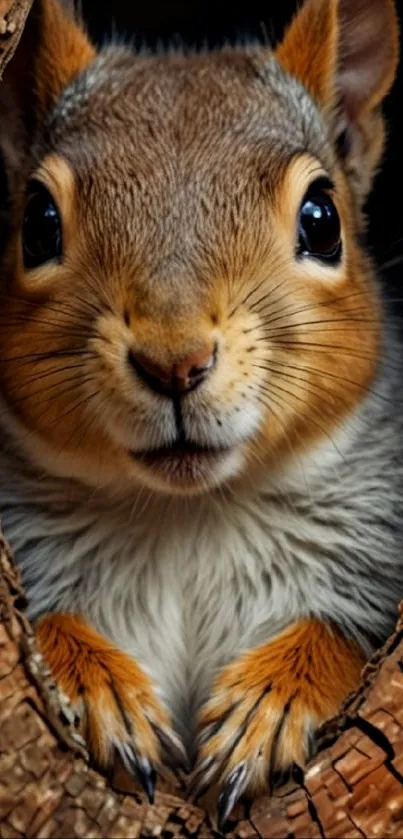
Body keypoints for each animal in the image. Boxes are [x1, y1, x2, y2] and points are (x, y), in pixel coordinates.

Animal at [0, 0, 401, 827]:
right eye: (38, 223)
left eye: (321, 218)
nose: (173, 360)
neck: (188, 511)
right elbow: (44, 621)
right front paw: (101, 689)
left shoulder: (370, 554)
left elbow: (342, 638)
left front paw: (267, 704)